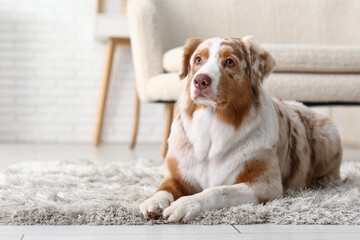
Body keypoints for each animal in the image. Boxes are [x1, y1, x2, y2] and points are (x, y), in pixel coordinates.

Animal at [139, 36, 342, 223]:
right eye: (198, 60)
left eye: (229, 61)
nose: (200, 81)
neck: (213, 123)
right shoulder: (178, 175)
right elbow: (164, 187)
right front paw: (154, 201)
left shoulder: (265, 184)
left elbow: (217, 191)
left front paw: (184, 204)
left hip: (327, 135)